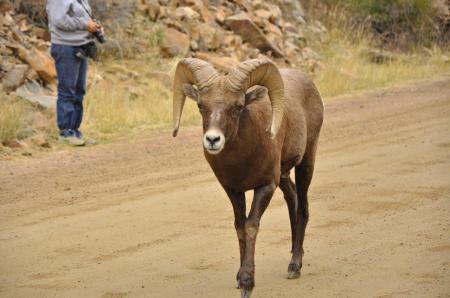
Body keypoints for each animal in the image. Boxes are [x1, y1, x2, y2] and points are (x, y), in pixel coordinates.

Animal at [171, 57, 324, 296]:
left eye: (238, 106)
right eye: (200, 105)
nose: (212, 140)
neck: (242, 159)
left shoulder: (265, 186)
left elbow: (251, 225)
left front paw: (247, 282)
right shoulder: (234, 190)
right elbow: (240, 226)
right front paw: (238, 276)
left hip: (306, 162)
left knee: (303, 208)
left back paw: (295, 266)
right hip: (283, 174)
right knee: (293, 199)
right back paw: (292, 253)